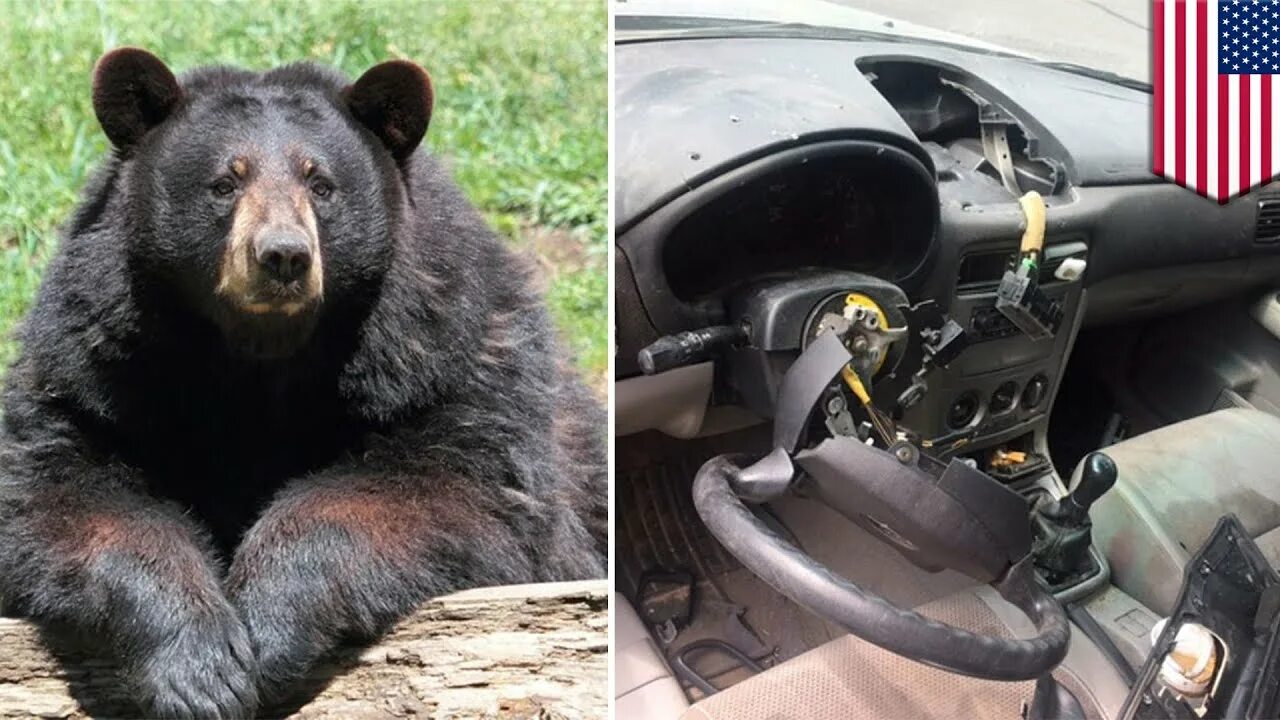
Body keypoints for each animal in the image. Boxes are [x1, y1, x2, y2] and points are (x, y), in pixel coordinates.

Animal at [0, 48, 606, 719]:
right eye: (225, 182)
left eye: (320, 184)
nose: (283, 255)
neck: (262, 356)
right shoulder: (94, 368)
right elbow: (59, 491)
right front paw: (201, 670)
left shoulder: (446, 358)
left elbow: (450, 487)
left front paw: (266, 630)